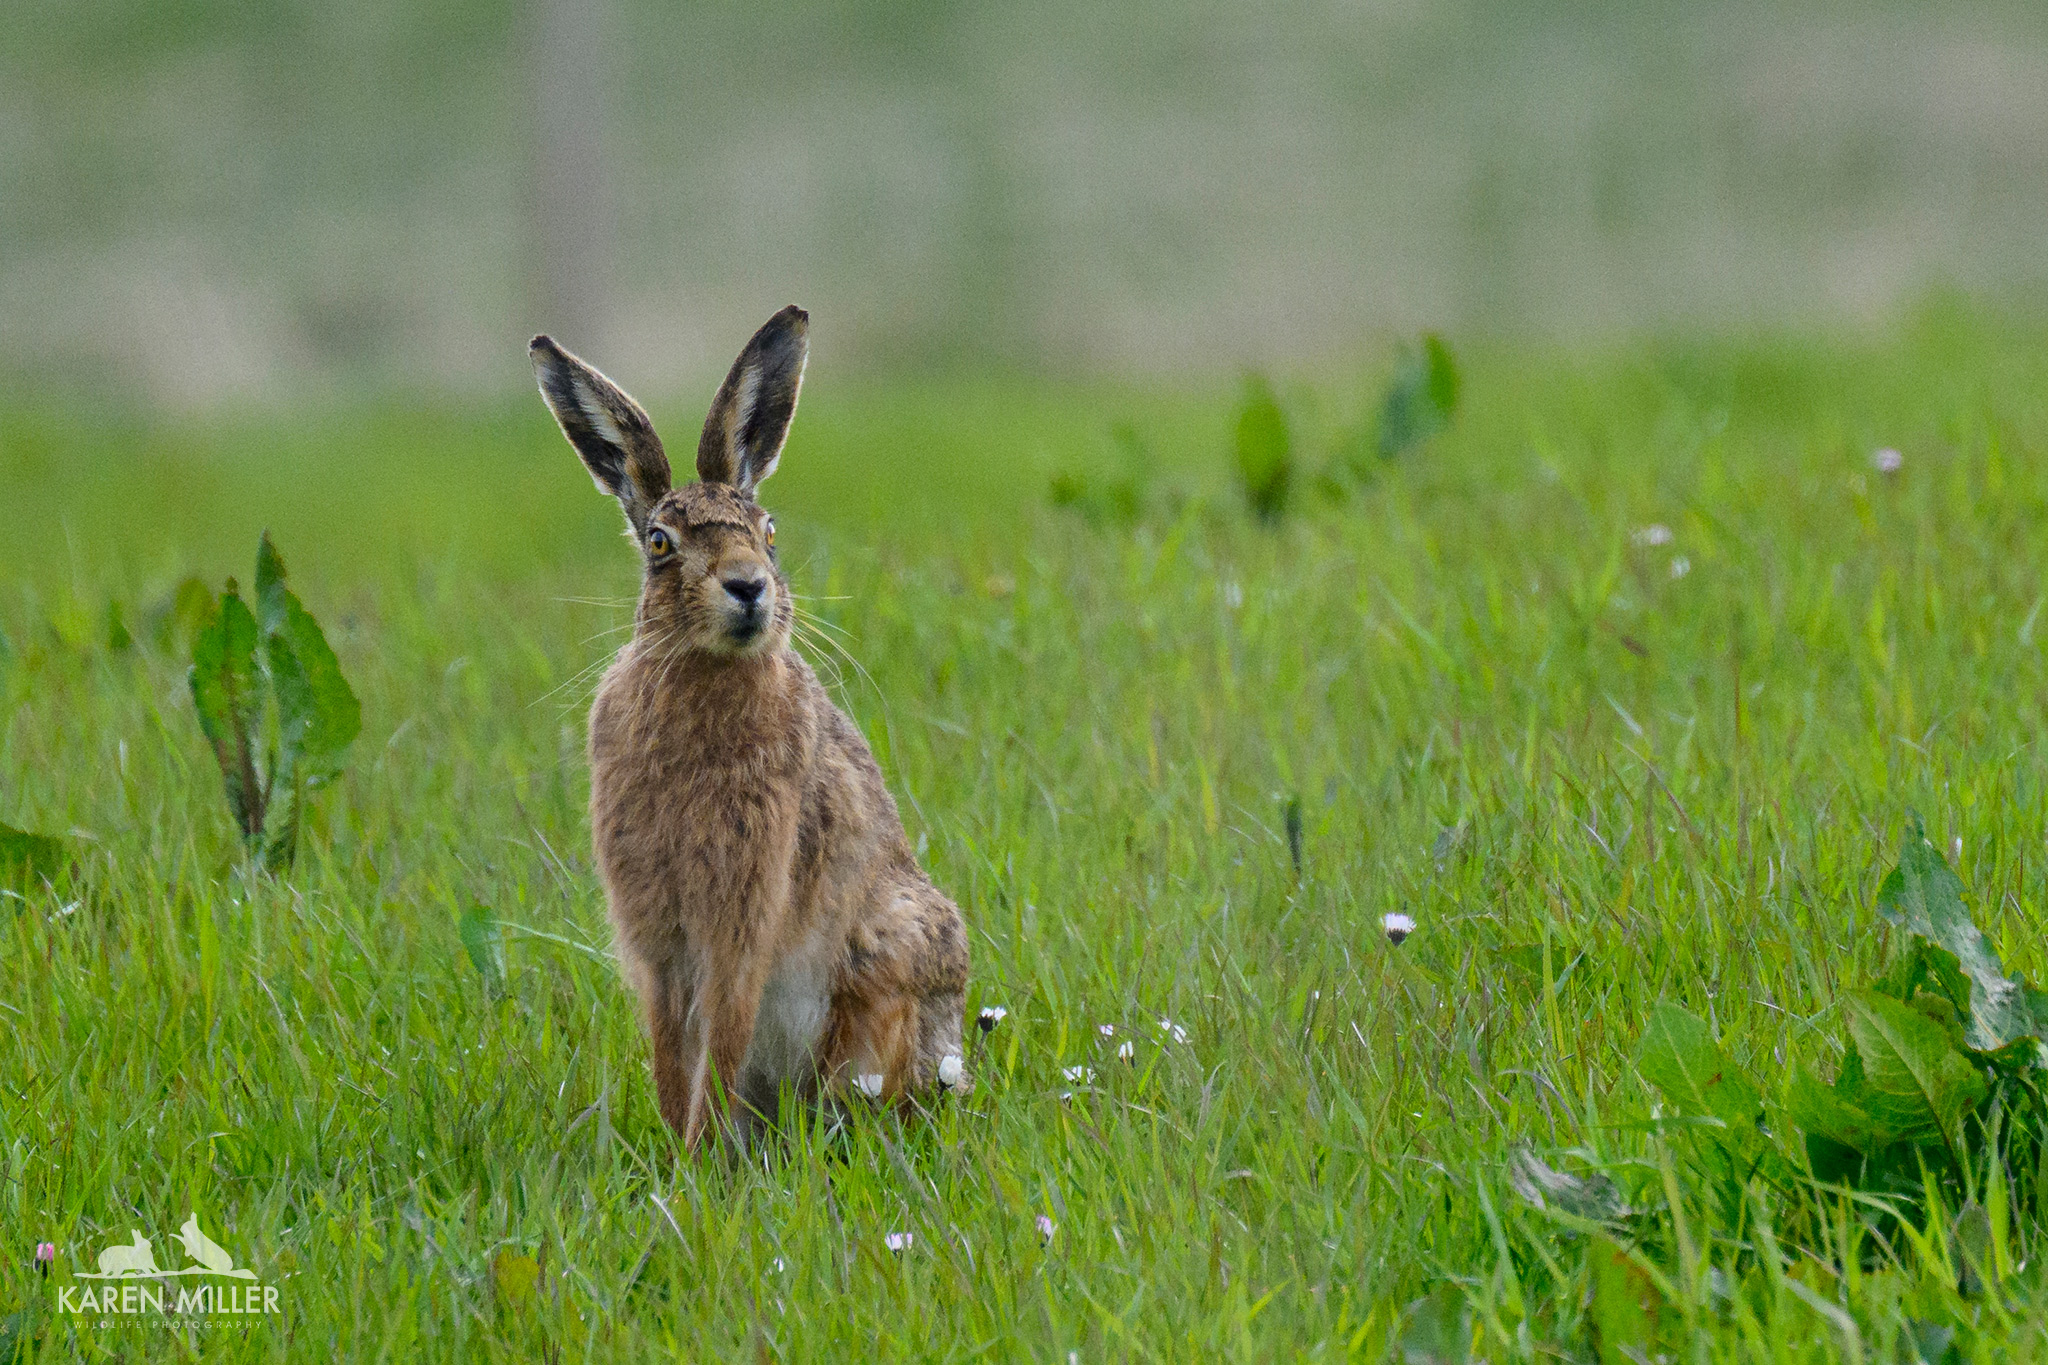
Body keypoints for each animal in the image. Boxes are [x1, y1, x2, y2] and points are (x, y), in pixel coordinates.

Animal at [530, 305, 970, 1152]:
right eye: (660, 544)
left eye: (768, 533)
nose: (749, 587)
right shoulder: (659, 931)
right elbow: (673, 1043)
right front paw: (681, 1153)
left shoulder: (746, 906)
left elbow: (724, 1030)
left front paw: (697, 1157)